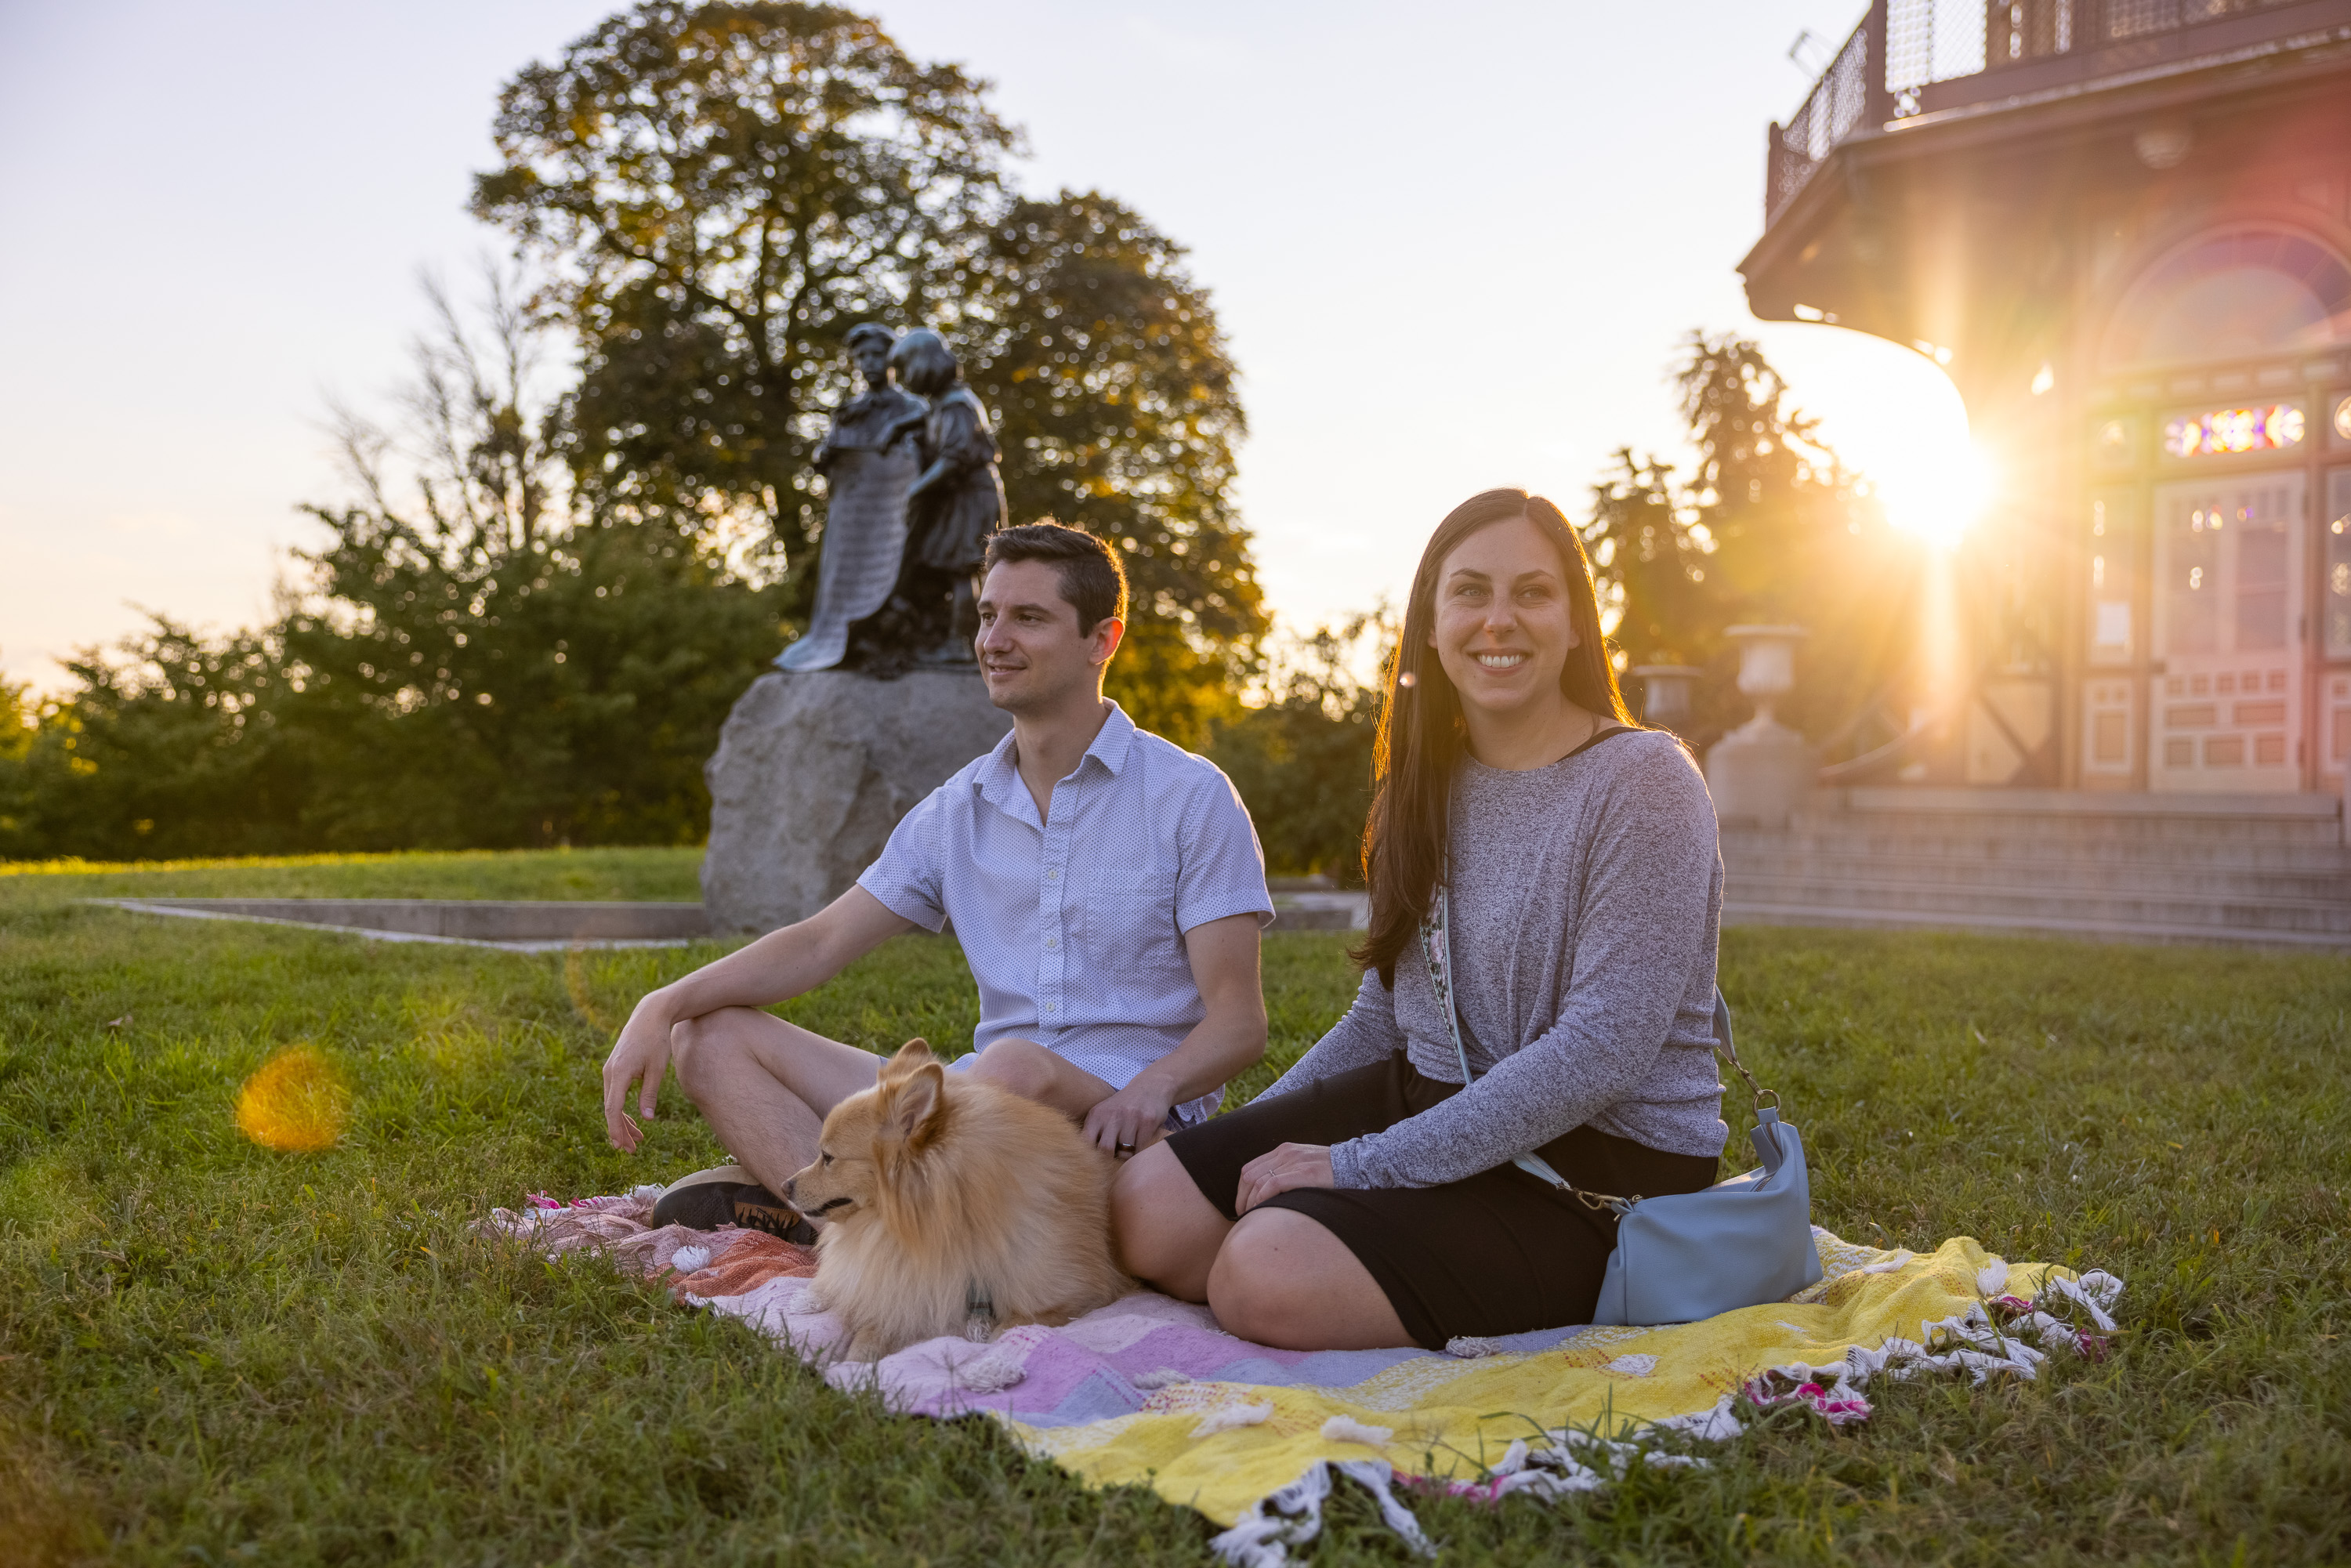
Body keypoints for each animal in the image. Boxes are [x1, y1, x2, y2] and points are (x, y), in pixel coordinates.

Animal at [785, 1044, 1133, 1363]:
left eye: (827, 1157)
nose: (785, 1186)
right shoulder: (912, 1293)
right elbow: (874, 1331)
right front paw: (856, 1366)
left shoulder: (1078, 1295)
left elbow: (1009, 1330)